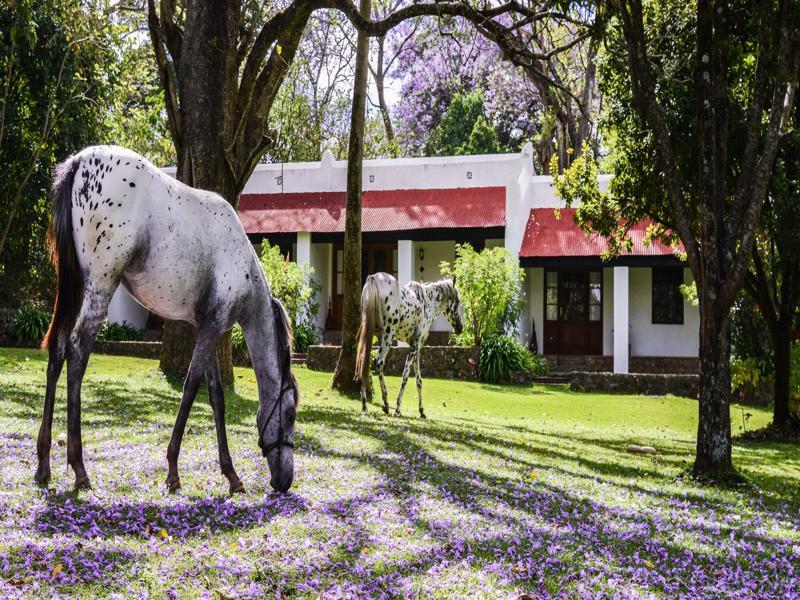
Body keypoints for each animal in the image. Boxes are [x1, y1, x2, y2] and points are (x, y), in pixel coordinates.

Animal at [37, 145, 300, 492]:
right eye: (291, 415)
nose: (285, 481)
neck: (242, 262)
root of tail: (79, 162)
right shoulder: (212, 328)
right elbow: (190, 388)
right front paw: (173, 470)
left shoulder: (207, 327)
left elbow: (216, 396)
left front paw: (231, 474)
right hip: (100, 285)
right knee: (77, 351)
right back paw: (79, 469)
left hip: (75, 286)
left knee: (58, 349)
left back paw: (43, 466)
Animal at [354, 272, 462, 418]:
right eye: (457, 301)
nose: (460, 328)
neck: (427, 301)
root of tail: (374, 278)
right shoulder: (416, 345)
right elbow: (405, 375)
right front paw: (398, 409)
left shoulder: (416, 347)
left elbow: (419, 380)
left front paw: (421, 411)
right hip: (388, 333)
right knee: (379, 362)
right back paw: (386, 404)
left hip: (369, 330)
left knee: (363, 360)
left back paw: (365, 405)